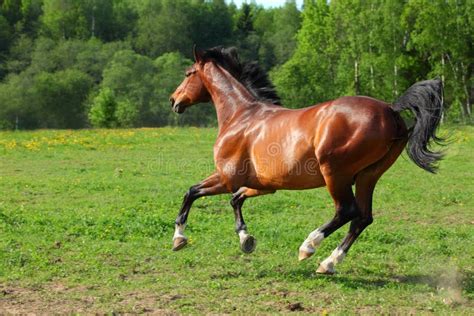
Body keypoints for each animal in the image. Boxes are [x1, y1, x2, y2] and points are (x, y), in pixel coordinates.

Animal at [168, 45, 442, 274]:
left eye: (188, 73)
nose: (173, 100)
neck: (241, 116)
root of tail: (391, 110)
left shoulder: (227, 178)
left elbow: (191, 192)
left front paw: (178, 238)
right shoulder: (263, 185)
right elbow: (236, 200)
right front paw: (246, 240)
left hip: (335, 174)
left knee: (347, 211)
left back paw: (308, 246)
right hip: (369, 175)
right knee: (363, 218)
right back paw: (328, 263)